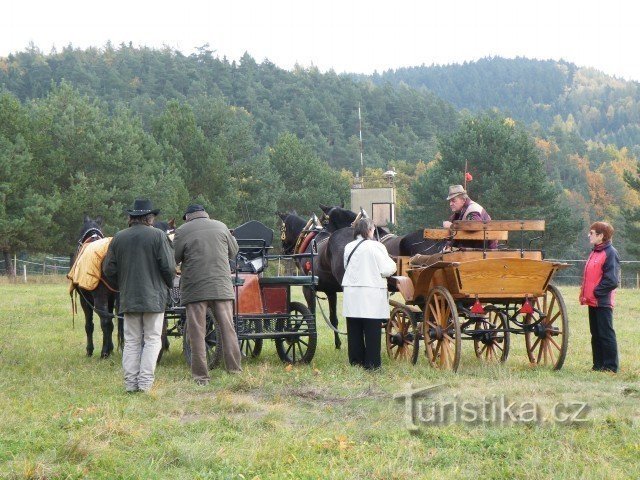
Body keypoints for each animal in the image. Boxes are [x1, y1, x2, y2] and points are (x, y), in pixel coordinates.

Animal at [71, 216, 121, 358]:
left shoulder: (85, 300)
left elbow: (89, 325)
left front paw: (90, 349)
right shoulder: (111, 299)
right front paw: (111, 347)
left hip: (99, 298)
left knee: (105, 321)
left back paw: (104, 352)